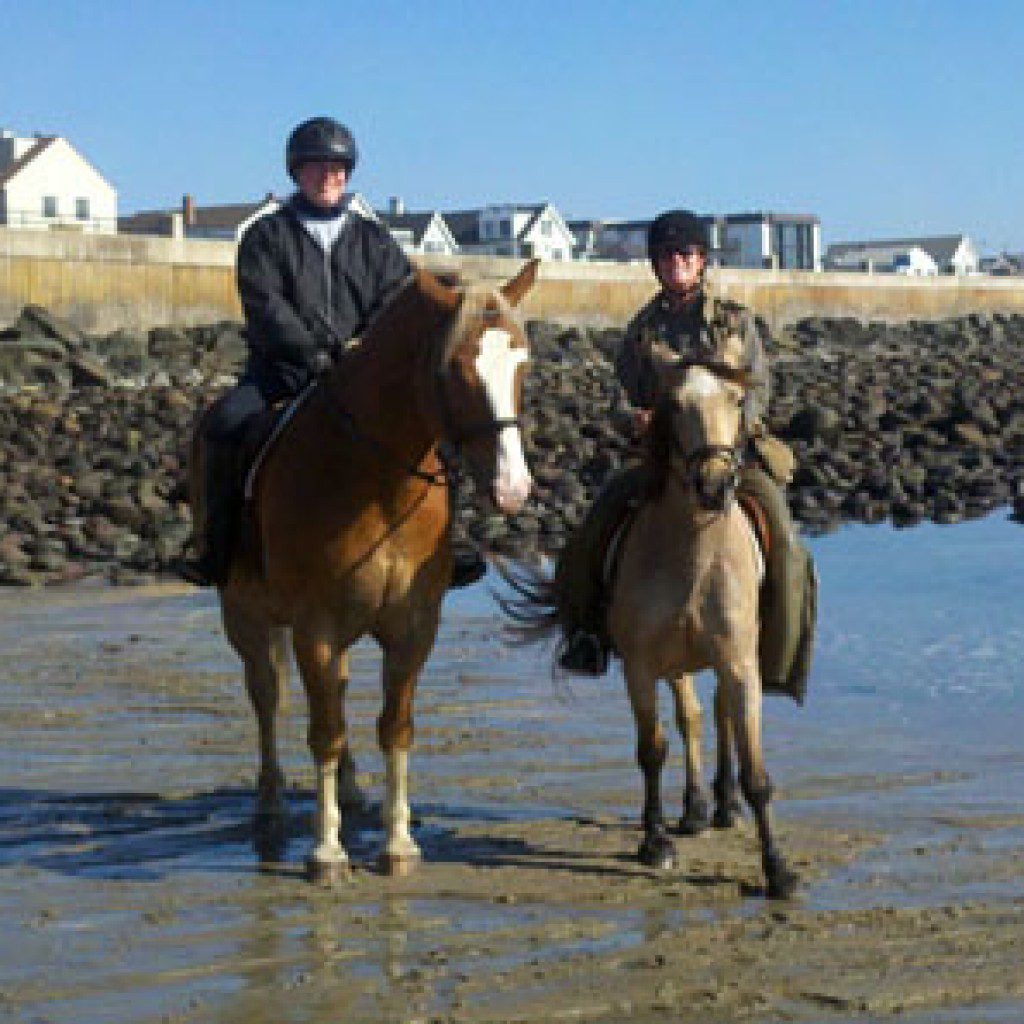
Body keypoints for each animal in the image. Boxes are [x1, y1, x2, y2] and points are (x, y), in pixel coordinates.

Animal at [194, 258, 540, 880]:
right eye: (456, 369)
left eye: (522, 363)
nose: (512, 488)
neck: (377, 480)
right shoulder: (314, 627)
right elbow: (324, 733)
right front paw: (327, 849)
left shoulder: (413, 626)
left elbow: (393, 727)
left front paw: (397, 841)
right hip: (245, 617)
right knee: (267, 699)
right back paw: (271, 800)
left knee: (332, 692)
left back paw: (353, 791)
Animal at [503, 342, 798, 897]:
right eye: (674, 403)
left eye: (736, 398)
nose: (714, 485)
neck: (694, 557)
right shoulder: (640, 666)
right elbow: (653, 749)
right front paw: (655, 841)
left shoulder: (739, 664)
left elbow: (757, 771)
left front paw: (778, 868)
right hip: (673, 663)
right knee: (692, 718)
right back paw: (696, 809)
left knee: (718, 716)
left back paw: (723, 806)